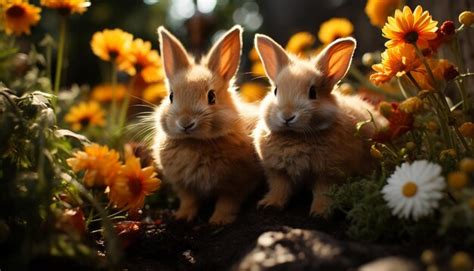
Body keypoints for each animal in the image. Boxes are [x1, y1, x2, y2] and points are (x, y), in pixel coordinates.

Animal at [153, 26, 262, 225]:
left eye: (211, 97)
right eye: (171, 96)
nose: (185, 123)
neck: (195, 142)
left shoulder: (236, 184)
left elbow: (227, 202)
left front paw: (219, 220)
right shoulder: (185, 187)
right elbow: (189, 201)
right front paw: (182, 217)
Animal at [254, 34, 386, 217]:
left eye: (312, 93)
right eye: (275, 91)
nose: (287, 116)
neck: (294, 136)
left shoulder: (329, 174)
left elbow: (323, 192)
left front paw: (321, 213)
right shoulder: (278, 172)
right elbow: (280, 189)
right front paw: (270, 205)